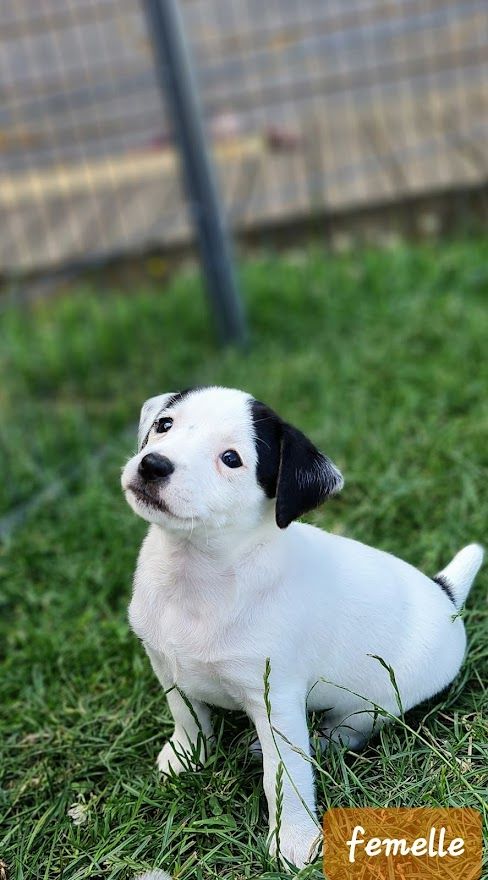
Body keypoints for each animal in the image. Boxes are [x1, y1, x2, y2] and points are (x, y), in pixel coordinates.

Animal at [121, 386, 483, 868]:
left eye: (231, 458)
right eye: (164, 425)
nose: (153, 464)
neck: (197, 571)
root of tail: (445, 596)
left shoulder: (274, 698)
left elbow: (286, 774)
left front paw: (293, 840)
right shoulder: (166, 664)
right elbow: (187, 715)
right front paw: (185, 758)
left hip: (379, 699)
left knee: (350, 729)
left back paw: (320, 741)